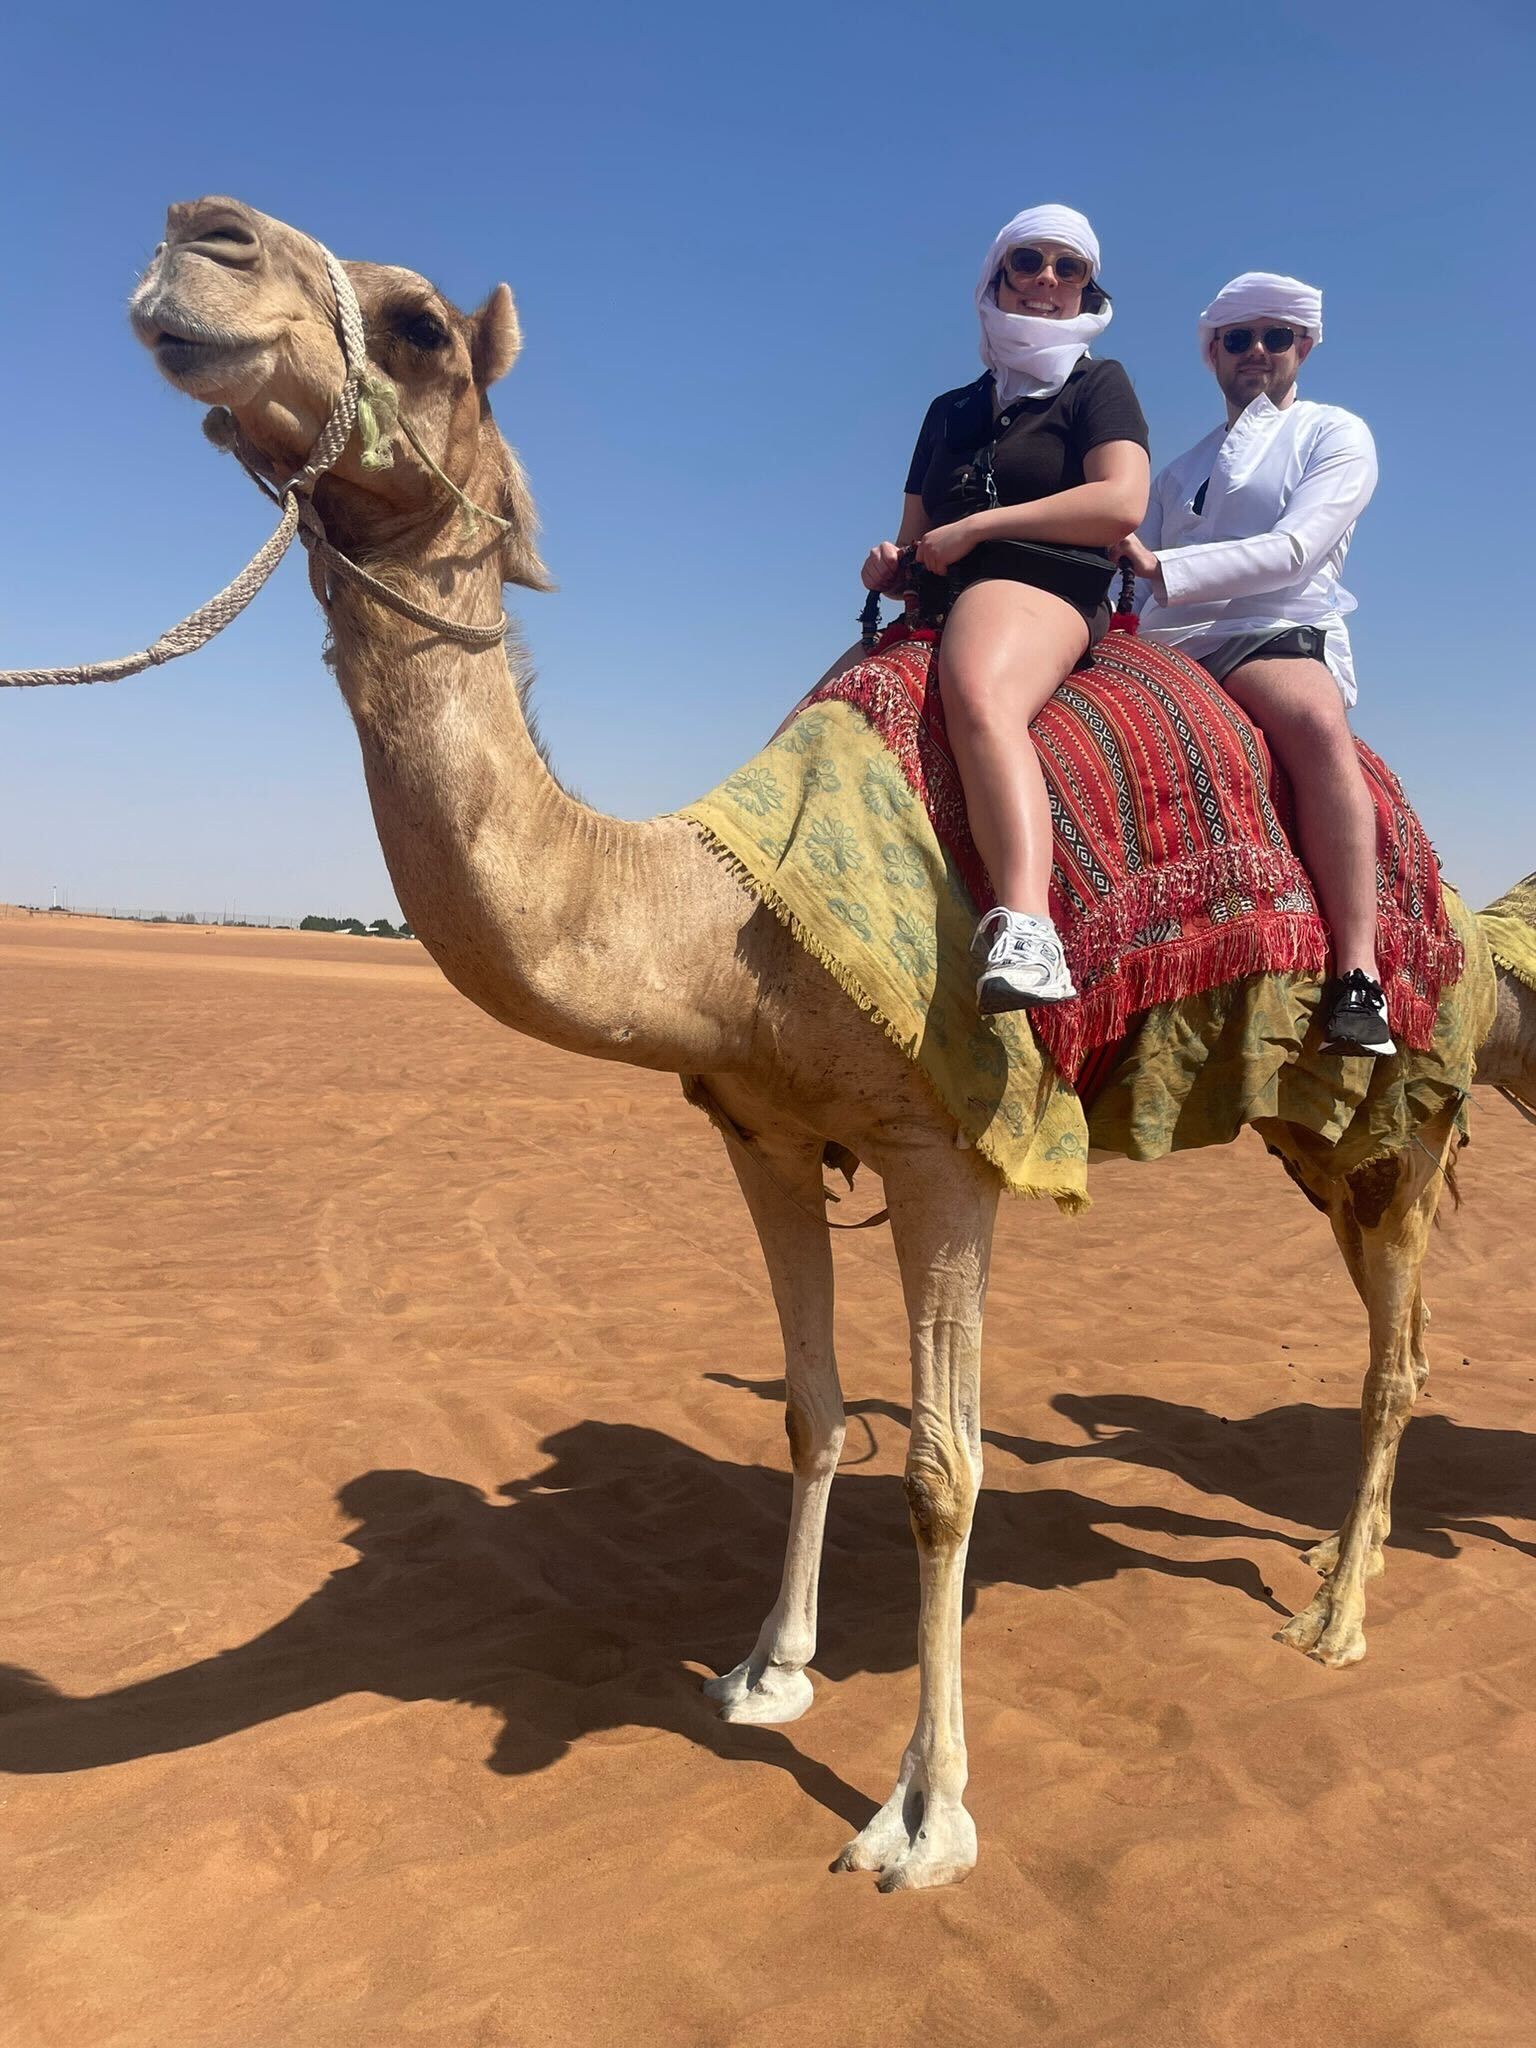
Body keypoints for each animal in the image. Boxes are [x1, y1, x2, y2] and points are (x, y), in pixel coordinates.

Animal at [120, 197, 1534, 1893]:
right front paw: (765, 1670)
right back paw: (1326, 1555)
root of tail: (1465, 923)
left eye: (419, 327)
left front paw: (924, 1816)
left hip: (1401, 1106)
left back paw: (1333, 1621)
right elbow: (809, 1409)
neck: (729, 924)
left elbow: (943, 1468)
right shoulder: (766, 1134)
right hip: (1319, 1133)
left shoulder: (953, 1150)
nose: (200, 237)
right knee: (1399, 1334)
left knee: (1395, 1361)